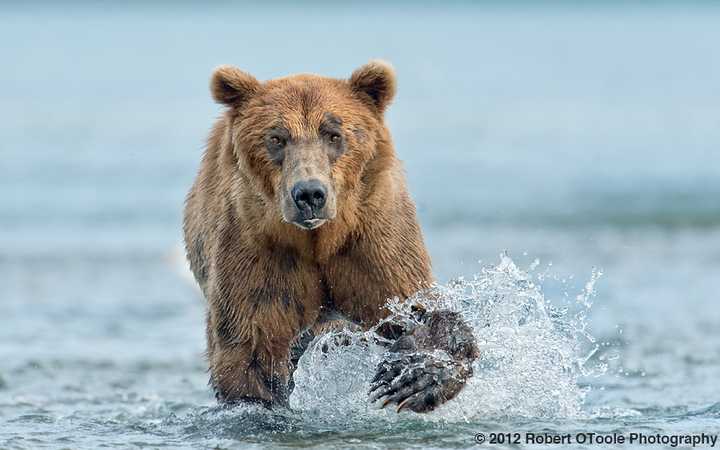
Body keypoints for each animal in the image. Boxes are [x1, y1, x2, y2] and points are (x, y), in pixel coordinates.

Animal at [183, 60, 478, 413]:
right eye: (277, 138)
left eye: (334, 134)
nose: (309, 194)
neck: (318, 241)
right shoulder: (257, 250)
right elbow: (251, 349)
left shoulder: (374, 241)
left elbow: (414, 306)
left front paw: (413, 376)